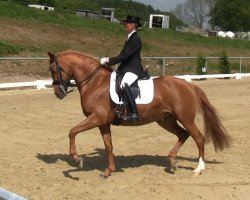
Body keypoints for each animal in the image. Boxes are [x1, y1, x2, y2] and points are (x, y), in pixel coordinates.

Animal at [47, 50, 230, 177]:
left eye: (54, 70)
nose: (58, 93)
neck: (95, 82)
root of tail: (189, 85)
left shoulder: (96, 118)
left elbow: (72, 131)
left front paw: (76, 158)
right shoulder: (103, 123)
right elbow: (108, 146)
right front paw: (108, 171)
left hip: (185, 118)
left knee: (199, 138)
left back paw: (198, 169)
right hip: (166, 120)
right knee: (183, 134)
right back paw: (172, 161)